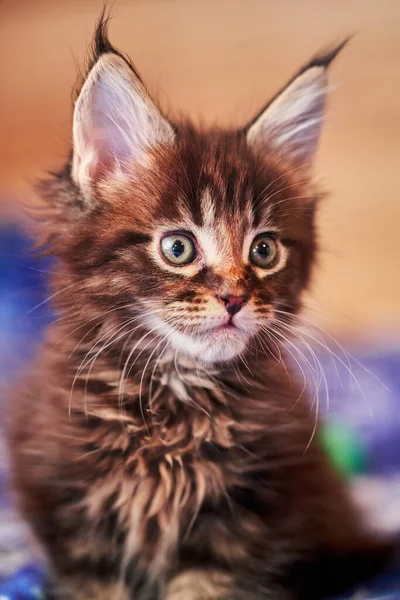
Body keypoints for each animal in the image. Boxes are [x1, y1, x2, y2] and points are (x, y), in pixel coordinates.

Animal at [8, 14, 394, 600]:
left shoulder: (236, 526)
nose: (234, 297)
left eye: (264, 250)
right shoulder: (77, 526)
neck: (175, 397)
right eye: (178, 248)